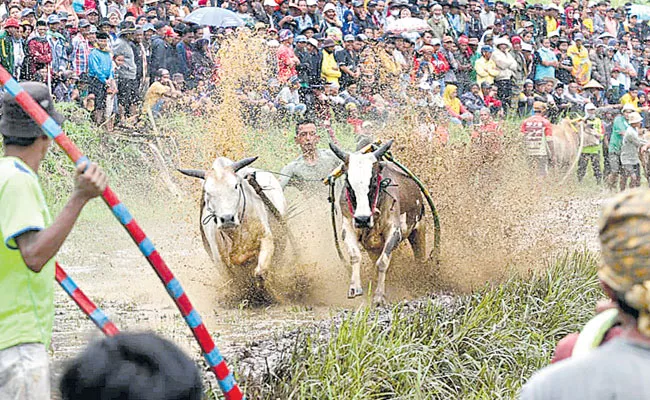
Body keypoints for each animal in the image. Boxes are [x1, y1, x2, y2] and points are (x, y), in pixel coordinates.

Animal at [178, 155, 288, 290]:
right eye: (207, 192)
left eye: (235, 186)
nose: (227, 219)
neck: (236, 233)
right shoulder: (220, 261)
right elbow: (234, 284)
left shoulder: (266, 237)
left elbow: (260, 272)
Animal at [330, 139, 426, 304]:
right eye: (348, 182)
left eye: (374, 180)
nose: (362, 219)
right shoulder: (348, 227)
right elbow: (355, 255)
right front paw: (355, 287)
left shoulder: (394, 231)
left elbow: (382, 262)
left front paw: (380, 295)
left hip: (419, 230)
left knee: (420, 256)